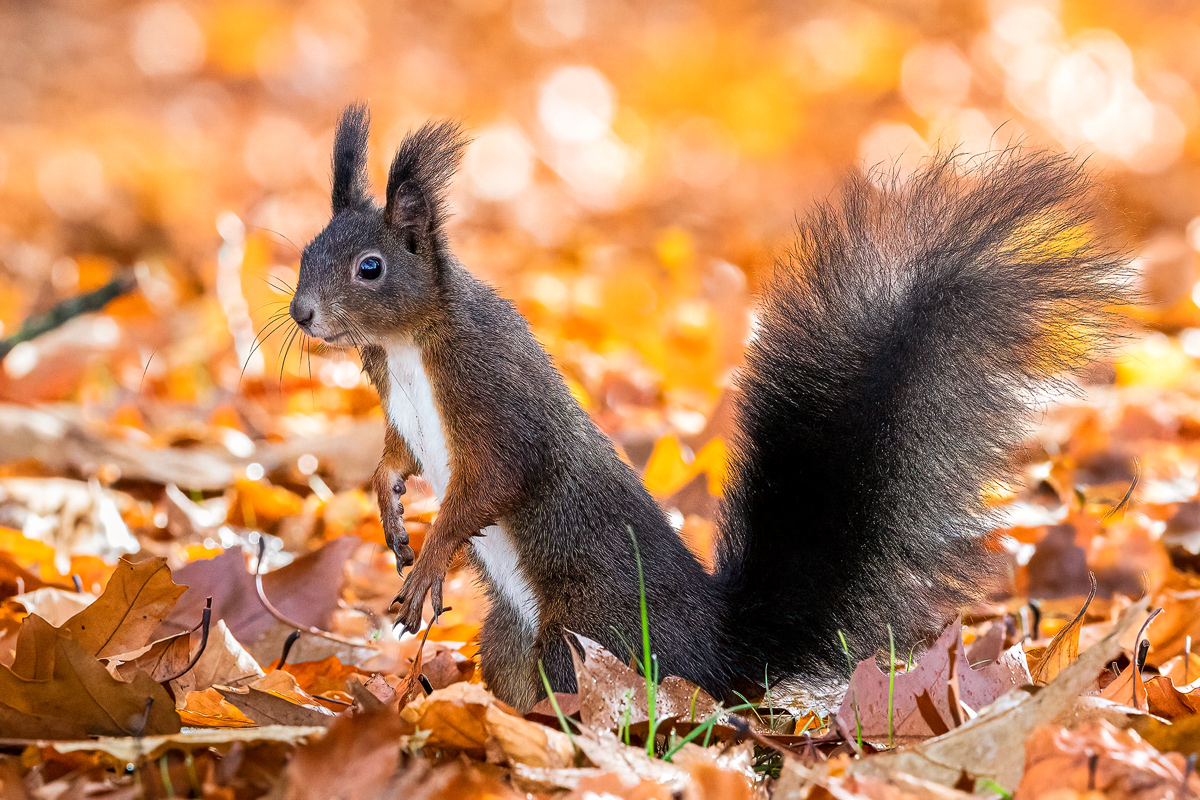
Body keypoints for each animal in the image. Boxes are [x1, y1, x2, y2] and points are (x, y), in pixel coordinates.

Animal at [288, 103, 1123, 710]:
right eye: (305, 251)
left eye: (370, 267)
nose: (301, 313)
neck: (406, 345)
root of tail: (721, 654)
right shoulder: (403, 409)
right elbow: (395, 456)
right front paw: (390, 508)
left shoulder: (491, 393)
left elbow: (493, 480)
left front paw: (430, 559)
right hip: (516, 635)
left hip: (588, 630)